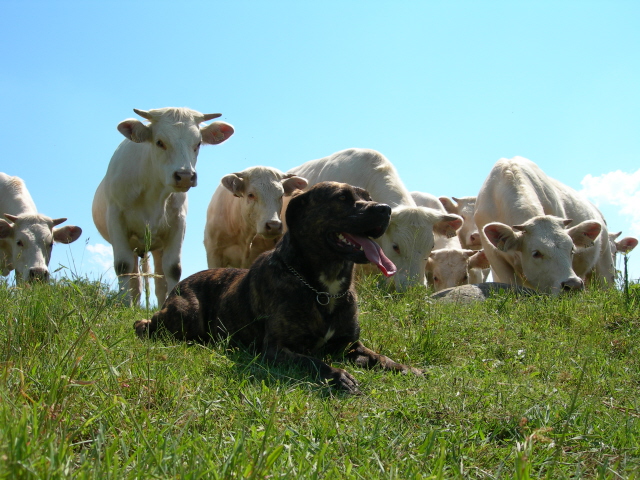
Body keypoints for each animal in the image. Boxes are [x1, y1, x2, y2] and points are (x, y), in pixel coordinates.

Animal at [91, 107, 234, 306]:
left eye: (198, 143)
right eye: (160, 142)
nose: (185, 175)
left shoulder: (177, 224)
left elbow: (173, 268)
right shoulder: (116, 220)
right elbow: (123, 266)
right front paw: (124, 305)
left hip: (157, 246)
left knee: (158, 280)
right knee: (135, 278)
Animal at [134, 180, 422, 394]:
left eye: (367, 196)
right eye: (342, 198)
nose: (385, 209)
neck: (322, 288)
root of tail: (181, 284)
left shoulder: (350, 346)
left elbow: (380, 357)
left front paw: (406, 368)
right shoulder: (277, 349)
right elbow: (313, 361)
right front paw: (338, 375)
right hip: (187, 315)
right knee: (150, 324)